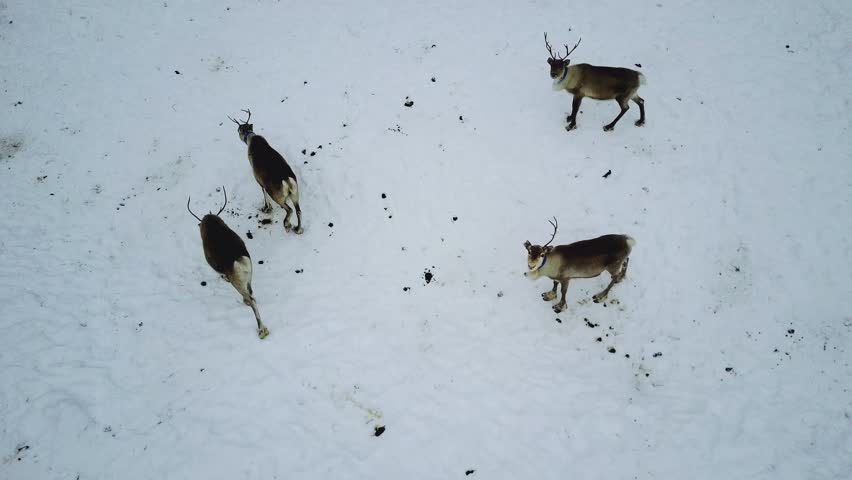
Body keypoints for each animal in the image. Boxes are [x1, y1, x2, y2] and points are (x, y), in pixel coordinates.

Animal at [187, 187, 269, 339]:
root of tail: (238, 261)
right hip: (249, 276)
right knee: (251, 293)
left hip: (237, 284)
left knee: (251, 300)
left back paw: (262, 330)